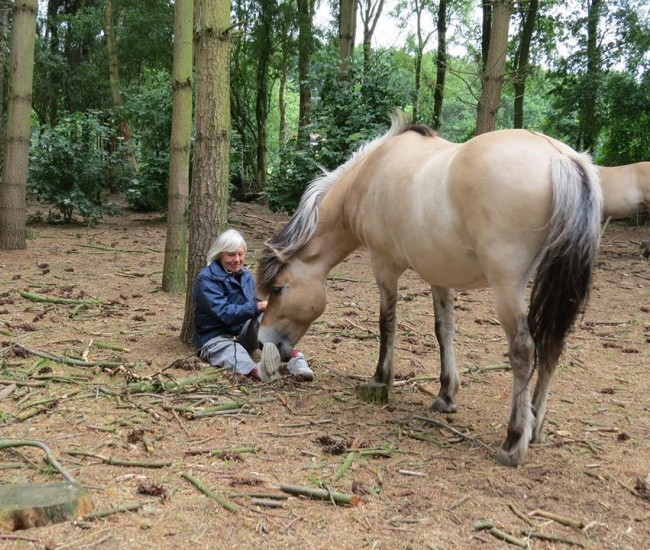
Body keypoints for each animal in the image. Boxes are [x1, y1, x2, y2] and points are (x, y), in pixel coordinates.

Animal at [256, 114, 600, 468]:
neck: (369, 176)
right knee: (553, 344)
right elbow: (443, 330)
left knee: (523, 349)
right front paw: (446, 395)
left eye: (278, 289)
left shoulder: (384, 266)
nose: (261, 339)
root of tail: (561, 157)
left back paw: (515, 439)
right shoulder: (440, 274)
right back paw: (535, 425)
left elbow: (387, 324)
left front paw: (380, 380)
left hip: (507, 286)